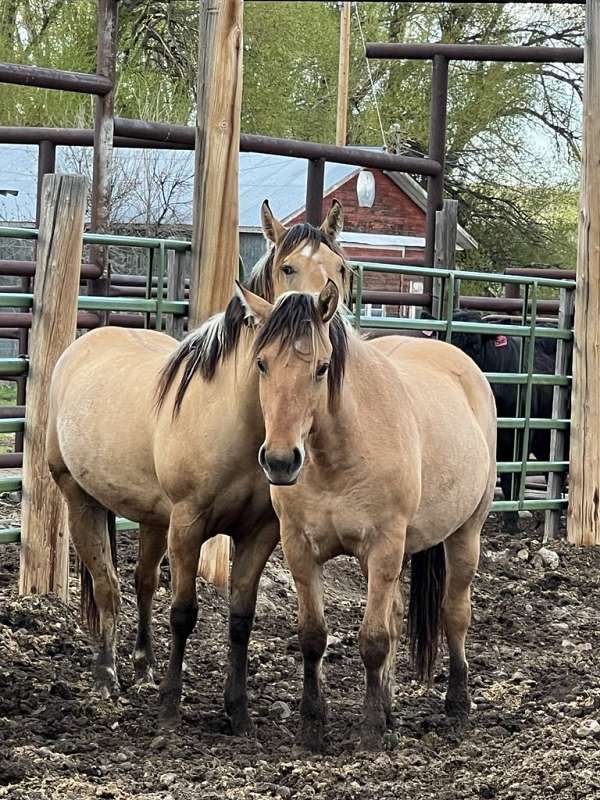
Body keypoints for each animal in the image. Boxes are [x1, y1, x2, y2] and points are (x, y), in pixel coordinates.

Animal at [47, 199, 348, 733]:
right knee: (107, 585)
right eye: (288, 267)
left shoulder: (258, 533)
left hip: (151, 517)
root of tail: (84, 343)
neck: (238, 418)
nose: (324, 316)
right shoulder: (188, 525)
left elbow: (240, 619)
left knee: (143, 581)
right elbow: (184, 611)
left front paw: (238, 710)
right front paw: (170, 707)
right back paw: (107, 676)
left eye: (341, 268)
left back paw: (143, 666)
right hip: (79, 498)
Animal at [235, 281, 497, 751]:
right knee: (394, 614)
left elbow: (373, 640)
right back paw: (392, 707)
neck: (337, 456)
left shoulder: (383, 547)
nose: (281, 461)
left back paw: (456, 706)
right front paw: (312, 726)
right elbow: (313, 637)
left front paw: (372, 730)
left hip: (465, 534)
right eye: (262, 364)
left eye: (321, 368)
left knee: (454, 613)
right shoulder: (300, 548)